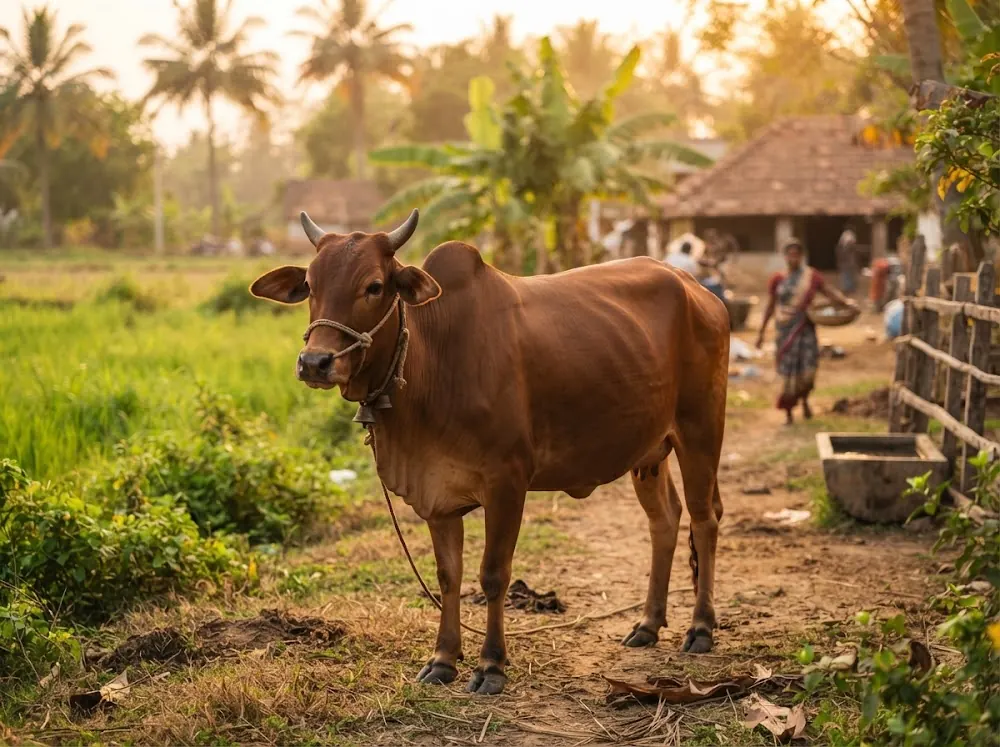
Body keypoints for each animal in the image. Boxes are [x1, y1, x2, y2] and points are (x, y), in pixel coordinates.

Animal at [250, 210, 729, 695]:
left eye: (374, 286)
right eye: (310, 285)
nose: (315, 363)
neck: (432, 359)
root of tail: (695, 287)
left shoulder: (507, 484)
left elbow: (493, 575)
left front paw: (491, 665)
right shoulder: (437, 494)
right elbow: (449, 576)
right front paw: (442, 659)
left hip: (700, 431)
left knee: (704, 518)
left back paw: (701, 628)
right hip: (648, 451)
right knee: (664, 520)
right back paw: (648, 624)